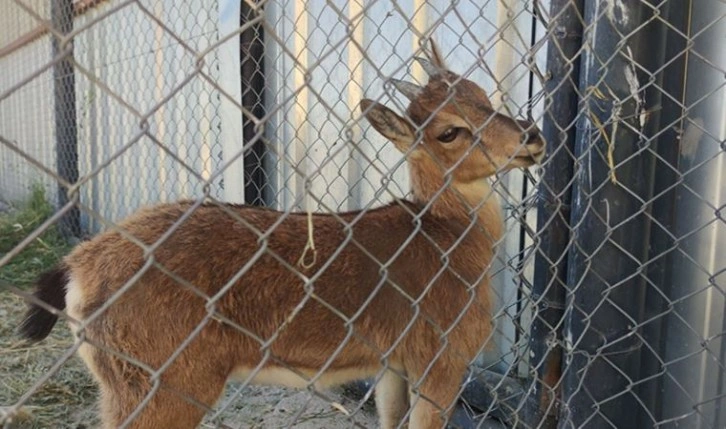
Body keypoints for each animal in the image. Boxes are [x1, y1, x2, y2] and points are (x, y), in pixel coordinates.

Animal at [18, 47, 544, 428]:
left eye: (485, 96)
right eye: (449, 132)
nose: (531, 136)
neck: (448, 243)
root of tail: (76, 268)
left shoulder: (393, 362)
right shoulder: (445, 356)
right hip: (163, 381)